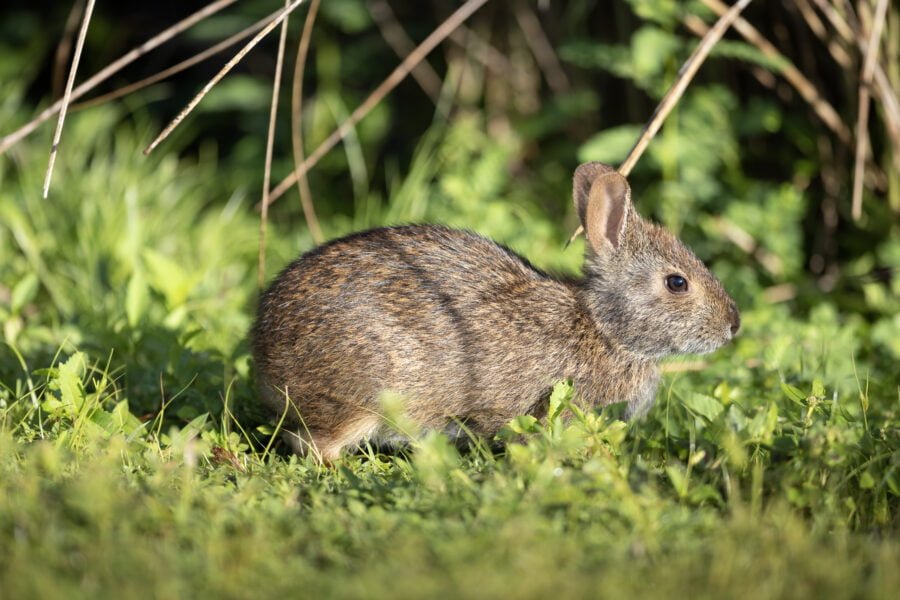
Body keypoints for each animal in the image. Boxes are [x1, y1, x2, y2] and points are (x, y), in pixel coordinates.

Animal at [248, 162, 740, 462]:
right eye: (677, 283)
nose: (733, 325)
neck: (603, 329)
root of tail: (264, 350)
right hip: (362, 397)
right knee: (314, 444)